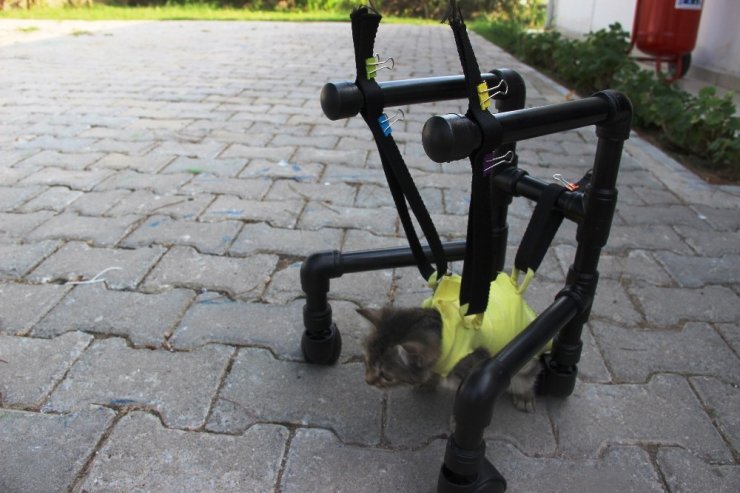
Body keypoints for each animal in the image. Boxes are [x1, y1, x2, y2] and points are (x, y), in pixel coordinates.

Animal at [357, 305, 541, 412]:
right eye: (366, 362)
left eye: (386, 376)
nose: (367, 380)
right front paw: (429, 382)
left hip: (526, 361)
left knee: (530, 375)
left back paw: (524, 395)